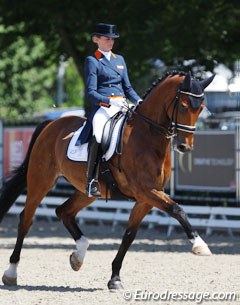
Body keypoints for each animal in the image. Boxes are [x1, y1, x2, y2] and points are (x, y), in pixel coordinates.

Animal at [0, 70, 214, 288]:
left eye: (201, 108)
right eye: (184, 106)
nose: (184, 146)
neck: (147, 136)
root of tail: (51, 124)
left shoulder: (146, 198)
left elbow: (129, 235)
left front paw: (115, 278)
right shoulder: (146, 191)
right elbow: (177, 209)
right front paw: (199, 245)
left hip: (88, 191)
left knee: (64, 211)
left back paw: (78, 257)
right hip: (40, 180)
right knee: (26, 219)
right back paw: (11, 272)